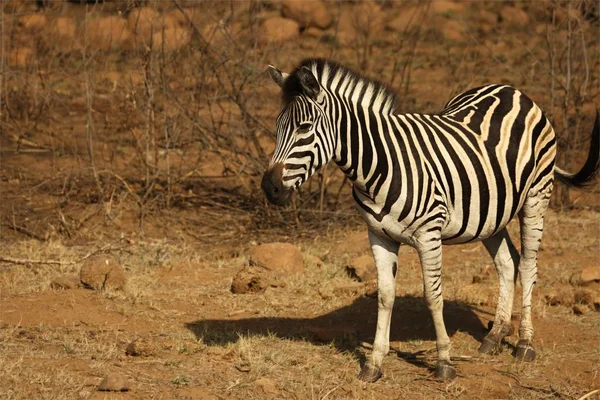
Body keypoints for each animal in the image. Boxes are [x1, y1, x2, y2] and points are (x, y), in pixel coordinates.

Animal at [262, 58, 600, 382]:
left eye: (305, 128)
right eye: (278, 127)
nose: (269, 187)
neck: (379, 165)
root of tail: (512, 90)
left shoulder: (429, 235)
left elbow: (433, 296)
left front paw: (444, 362)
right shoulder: (378, 235)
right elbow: (385, 296)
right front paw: (374, 363)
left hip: (536, 195)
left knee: (529, 266)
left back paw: (524, 344)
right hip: (491, 212)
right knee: (507, 263)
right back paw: (494, 336)